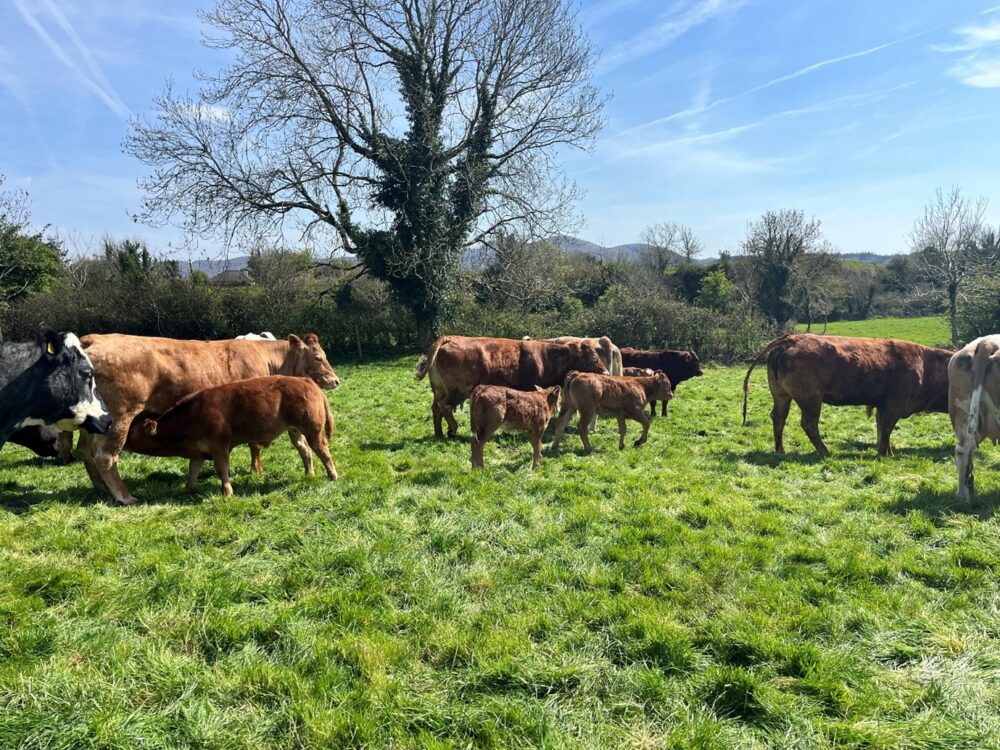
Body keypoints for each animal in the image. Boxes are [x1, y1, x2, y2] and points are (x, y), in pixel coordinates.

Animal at [125, 376, 337, 496]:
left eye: (133, 431)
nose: (123, 440)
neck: (193, 414)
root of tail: (306, 381)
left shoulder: (220, 447)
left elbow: (221, 469)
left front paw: (227, 493)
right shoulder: (198, 452)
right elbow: (193, 470)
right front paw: (188, 489)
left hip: (313, 430)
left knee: (322, 451)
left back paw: (332, 475)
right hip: (295, 431)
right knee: (305, 451)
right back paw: (309, 474)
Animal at [415, 336, 607, 438]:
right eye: (593, 357)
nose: (605, 372)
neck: (546, 358)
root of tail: (448, 338)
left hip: (439, 390)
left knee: (436, 408)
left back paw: (439, 433)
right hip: (459, 389)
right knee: (444, 406)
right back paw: (453, 429)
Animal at [743, 333, 952, 457]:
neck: (925, 364)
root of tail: (791, 339)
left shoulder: (883, 406)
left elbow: (882, 429)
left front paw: (886, 451)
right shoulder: (894, 407)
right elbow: (886, 429)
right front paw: (886, 454)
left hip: (782, 396)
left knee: (779, 418)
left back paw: (781, 450)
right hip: (811, 400)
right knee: (808, 424)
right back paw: (825, 452)